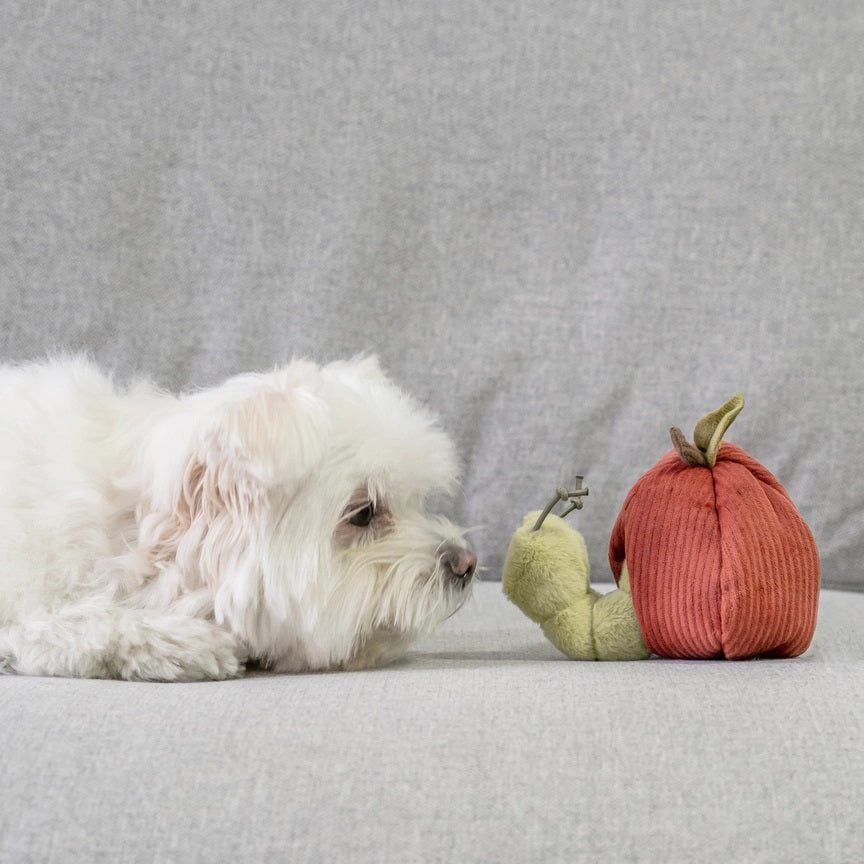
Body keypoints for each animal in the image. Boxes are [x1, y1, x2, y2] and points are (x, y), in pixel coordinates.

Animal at [0, 354, 472, 680]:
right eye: (364, 513)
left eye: (417, 500)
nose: (466, 563)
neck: (133, 533)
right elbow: (67, 623)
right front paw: (178, 643)